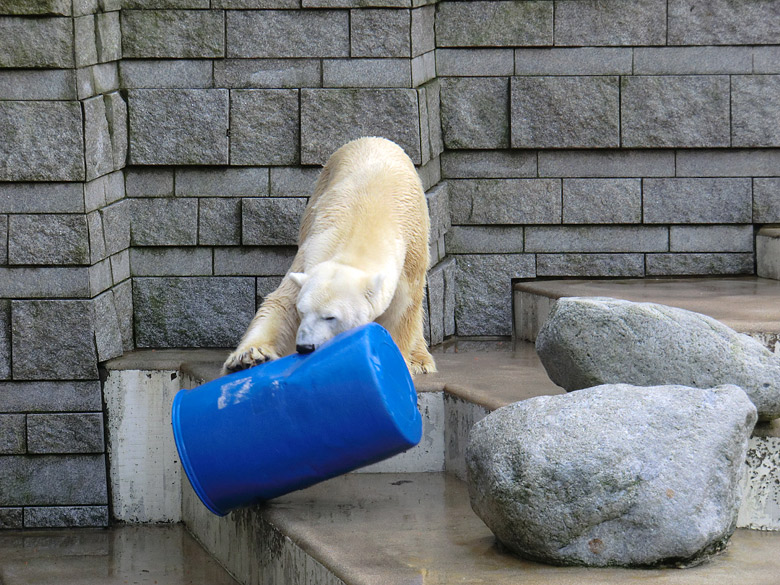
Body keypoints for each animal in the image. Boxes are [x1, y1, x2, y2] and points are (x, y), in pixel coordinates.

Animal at [222, 137, 436, 374]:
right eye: (302, 311)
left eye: (331, 317)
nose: (305, 347)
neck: (362, 229)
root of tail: (373, 139)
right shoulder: (309, 253)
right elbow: (282, 303)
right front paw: (248, 358)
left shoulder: (409, 258)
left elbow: (402, 311)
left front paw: (399, 361)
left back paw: (421, 360)